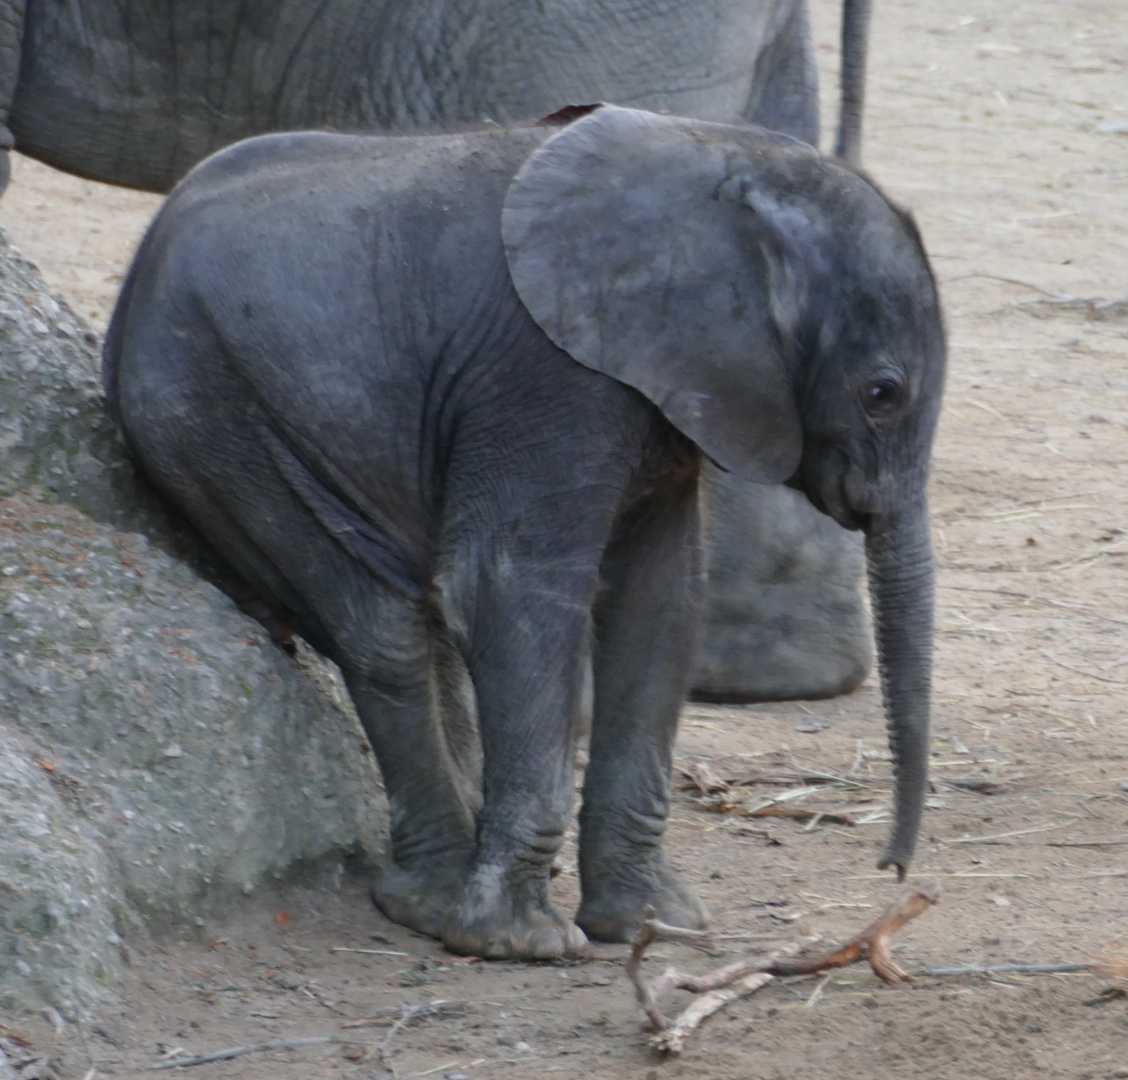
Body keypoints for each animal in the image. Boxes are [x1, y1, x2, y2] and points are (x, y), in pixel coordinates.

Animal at [109, 103, 947, 961]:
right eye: (882, 394)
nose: (891, 869)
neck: (722, 159)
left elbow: (661, 604)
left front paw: (653, 924)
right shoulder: (547, 375)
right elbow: (510, 590)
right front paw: (522, 943)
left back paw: (427, 899)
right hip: (220, 415)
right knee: (386, 627)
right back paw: (446, 906)